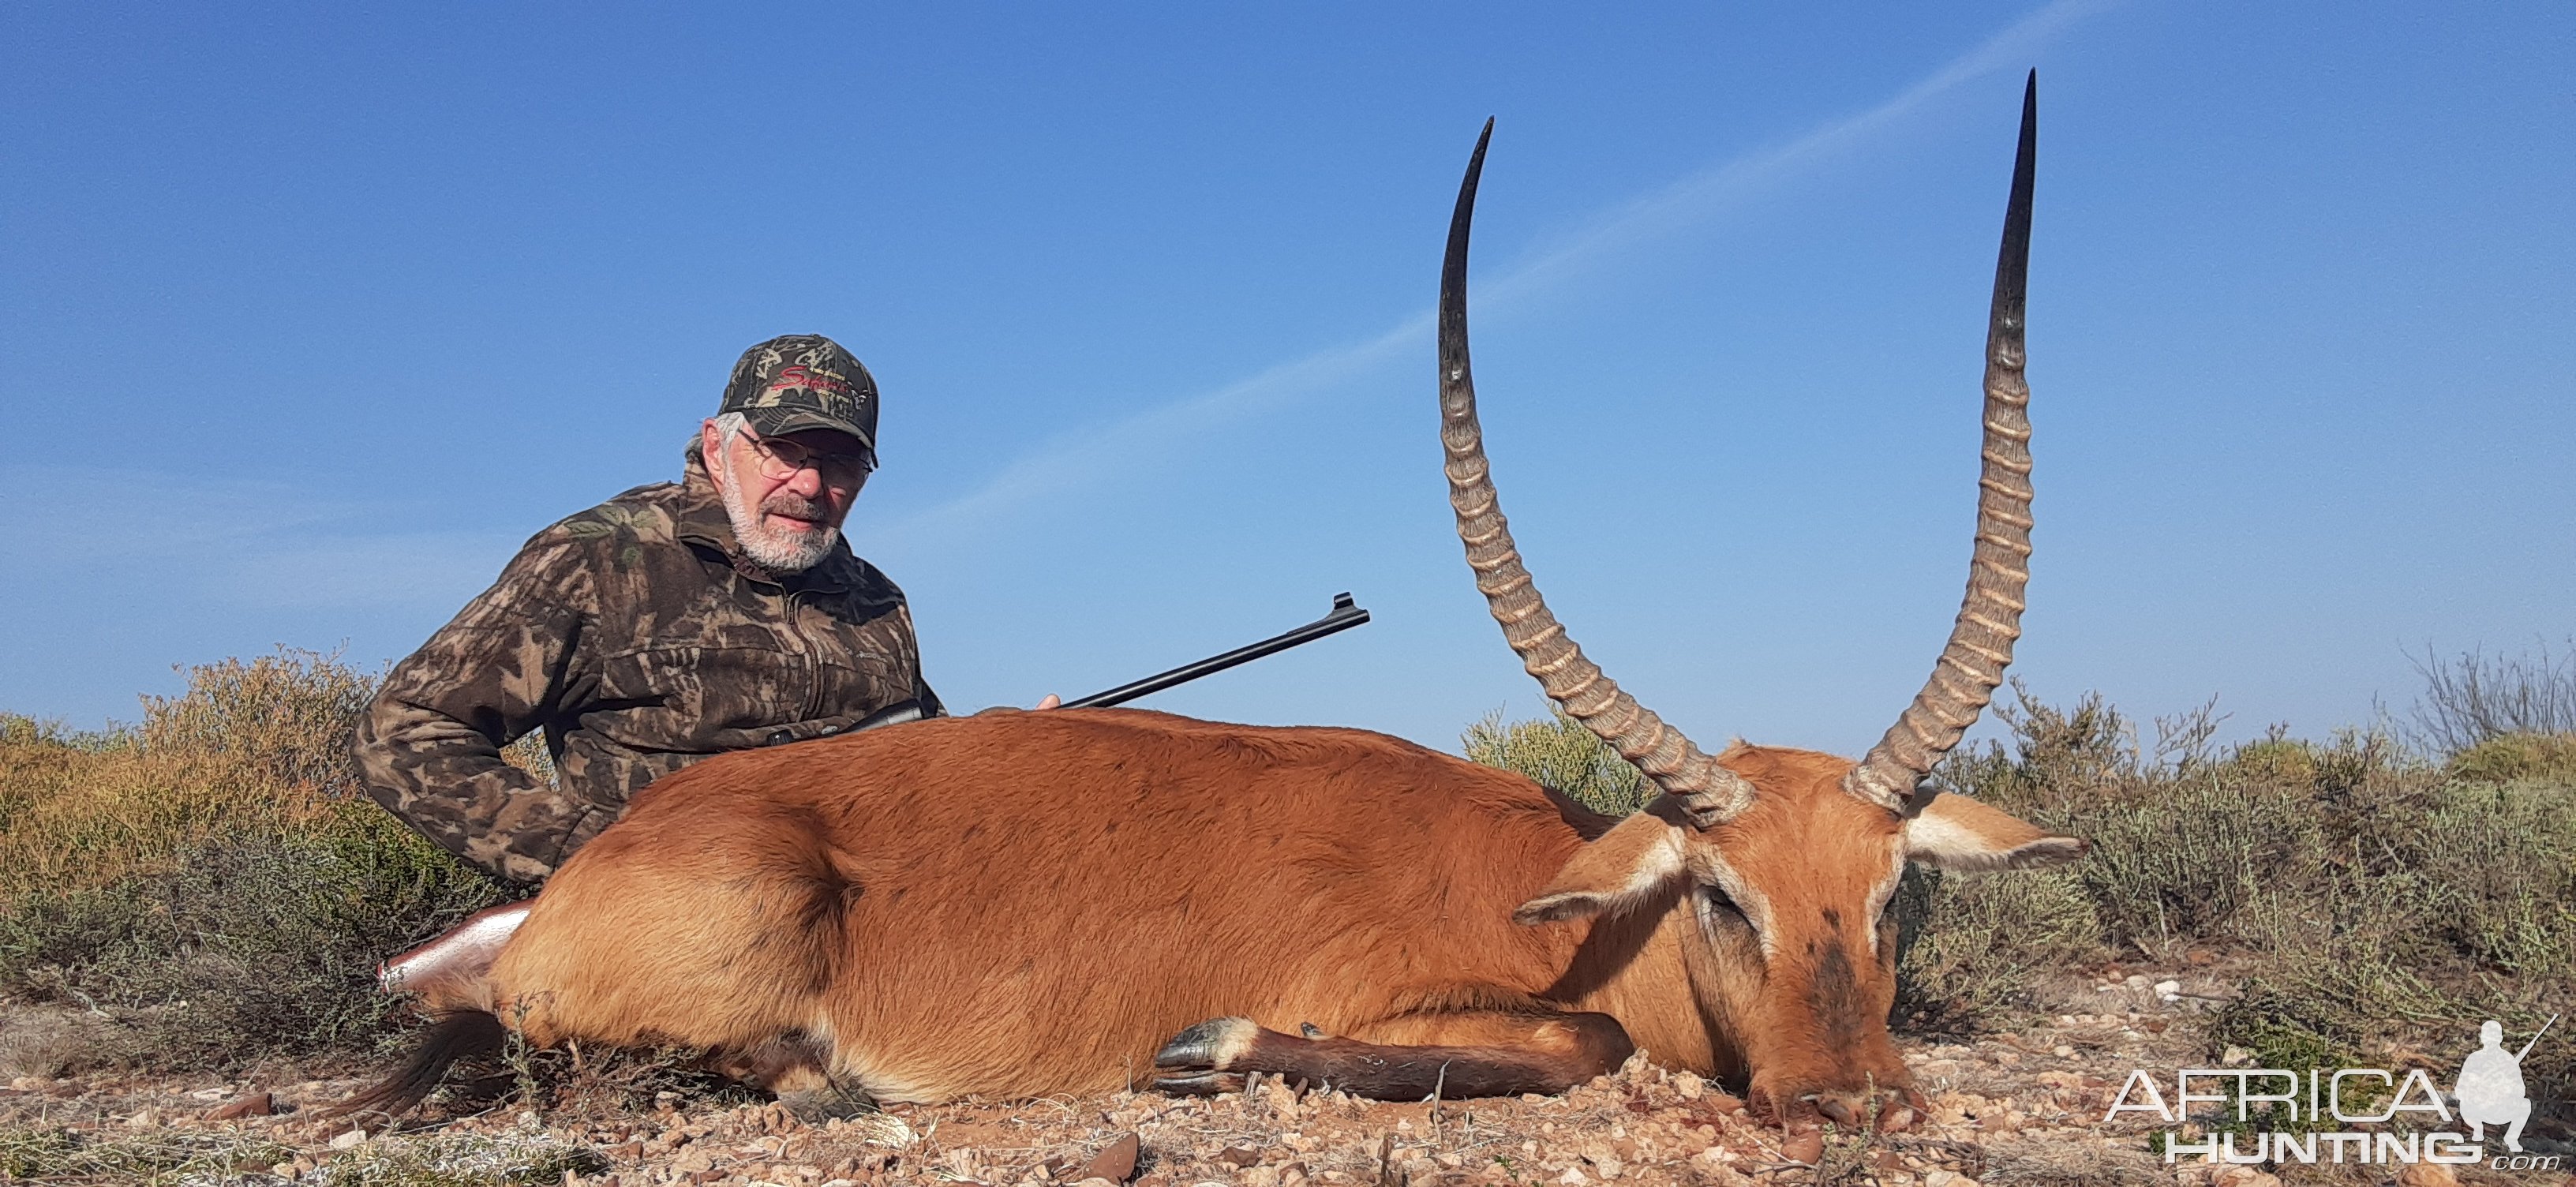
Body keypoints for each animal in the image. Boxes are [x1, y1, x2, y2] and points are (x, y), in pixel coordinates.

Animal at [347, 78, 2071, 1122]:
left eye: (1894, 890)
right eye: (1724, 891)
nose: (1857, 1100)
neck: (1577, 898)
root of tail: (595, 864)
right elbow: (1572, 1043)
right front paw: (1208, 1044)